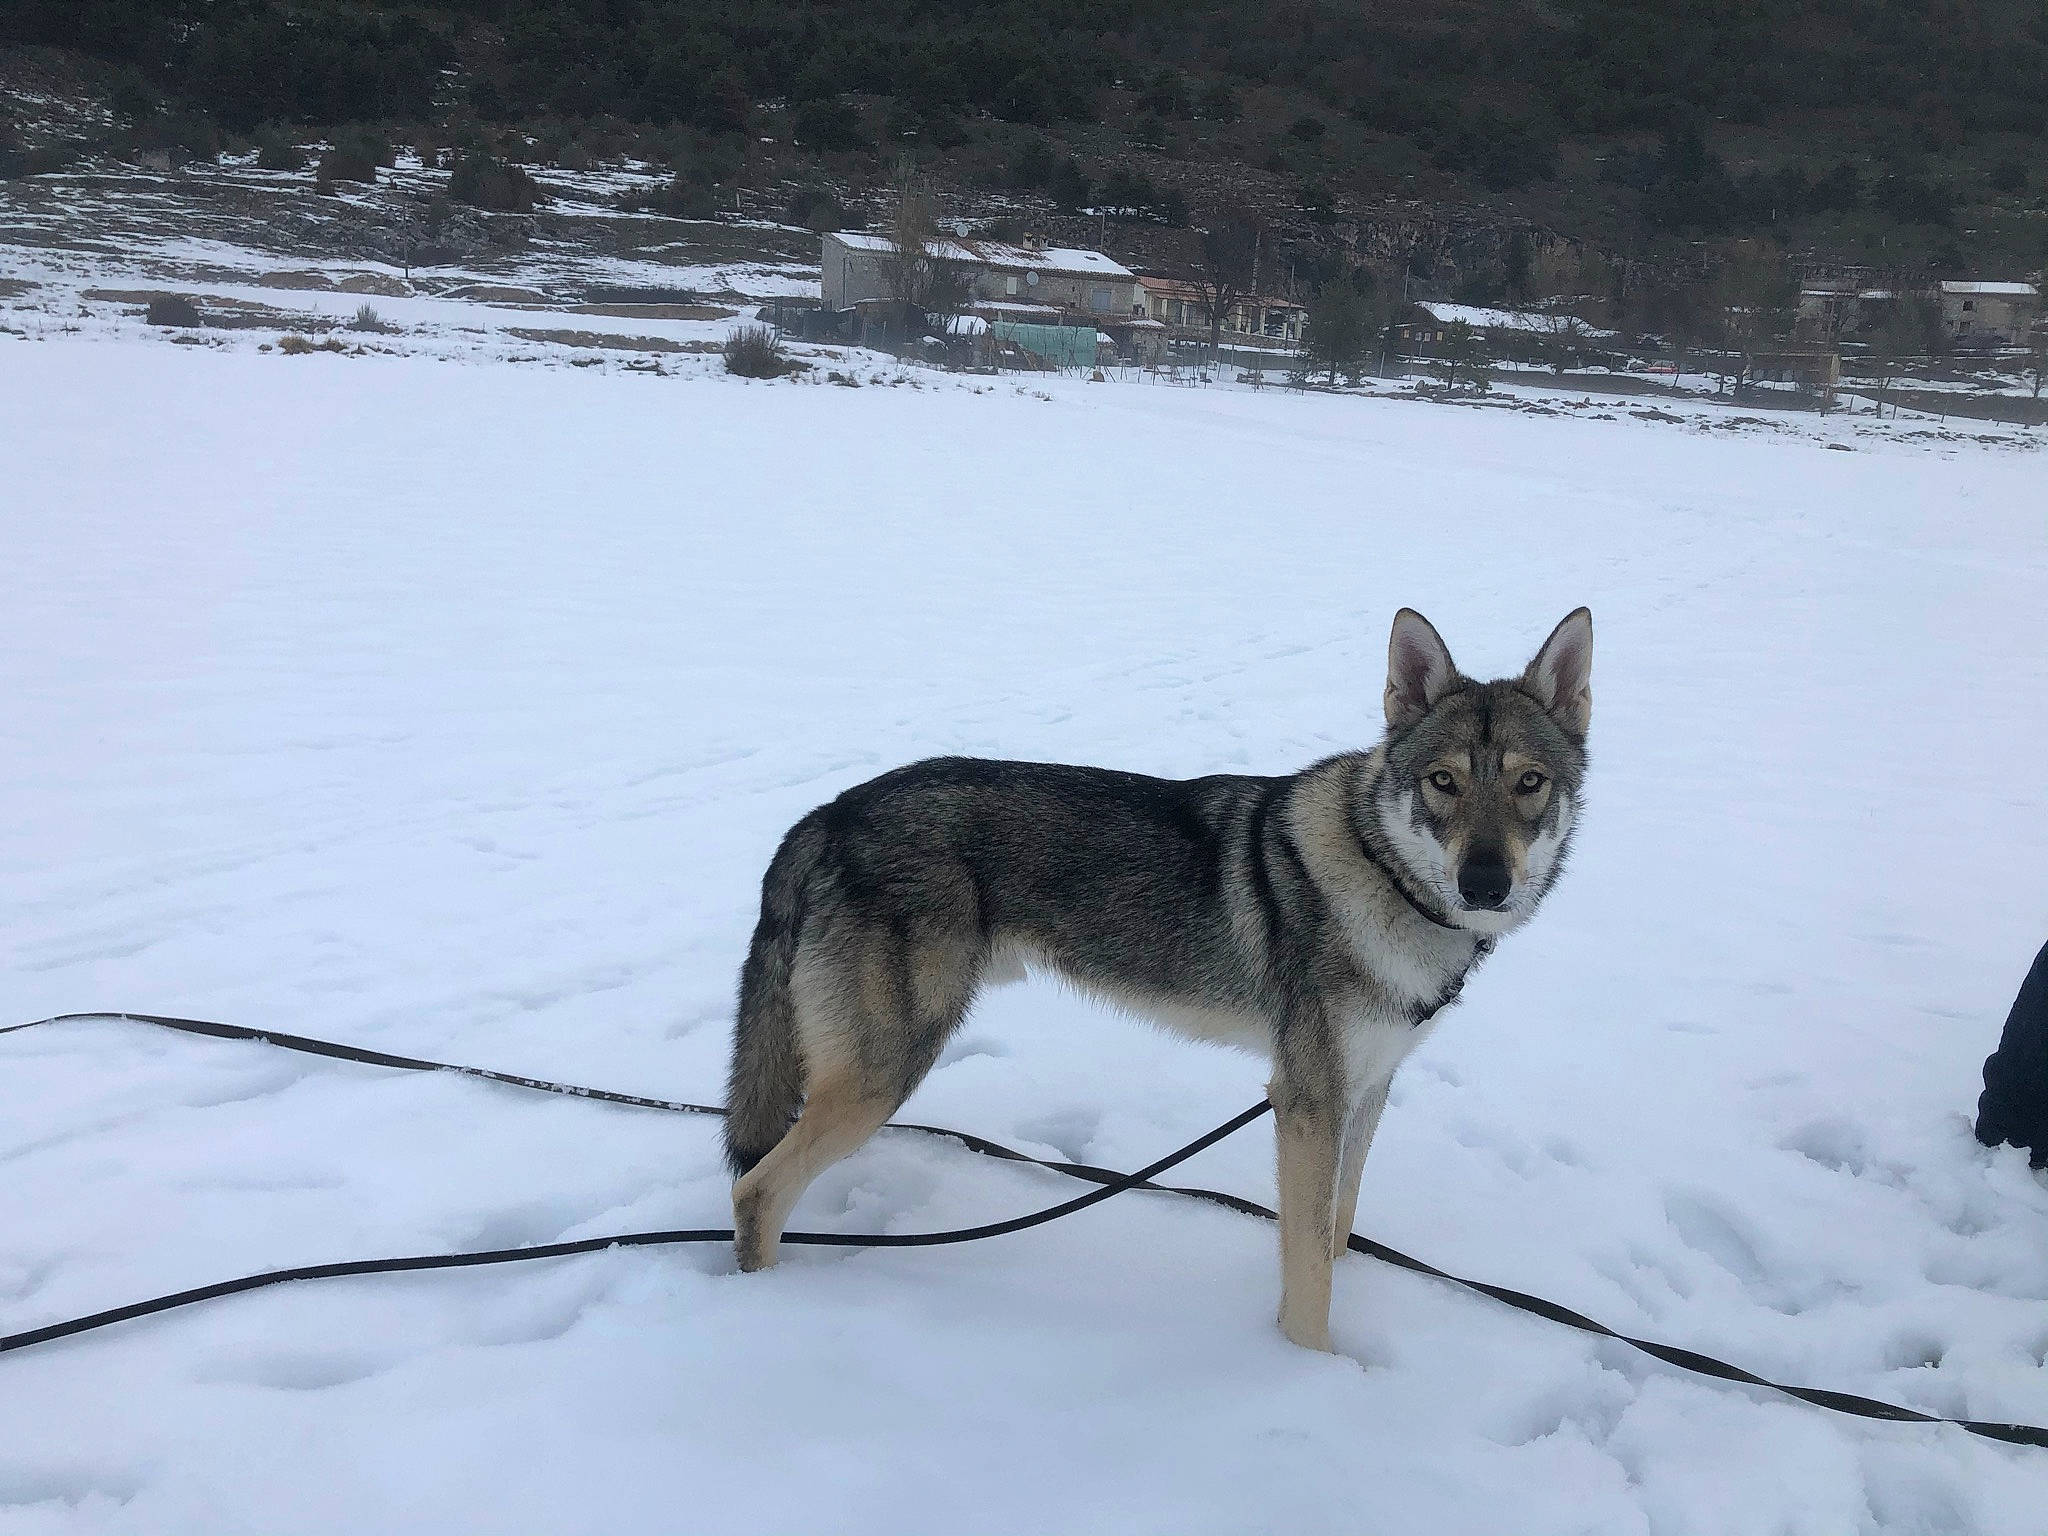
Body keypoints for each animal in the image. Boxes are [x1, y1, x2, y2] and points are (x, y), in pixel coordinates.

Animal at [724, 607, 1592, 1351]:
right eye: (1443, 782)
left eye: (1529, 783)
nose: (1486, 883)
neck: (1382, 879)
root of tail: (829, 814)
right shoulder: (1307, 1101)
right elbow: (1310, 1267)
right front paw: (1312, 1374)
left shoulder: (1368, 1088)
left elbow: (1335, 1232)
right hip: (885, 1072)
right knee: (756, 1190)